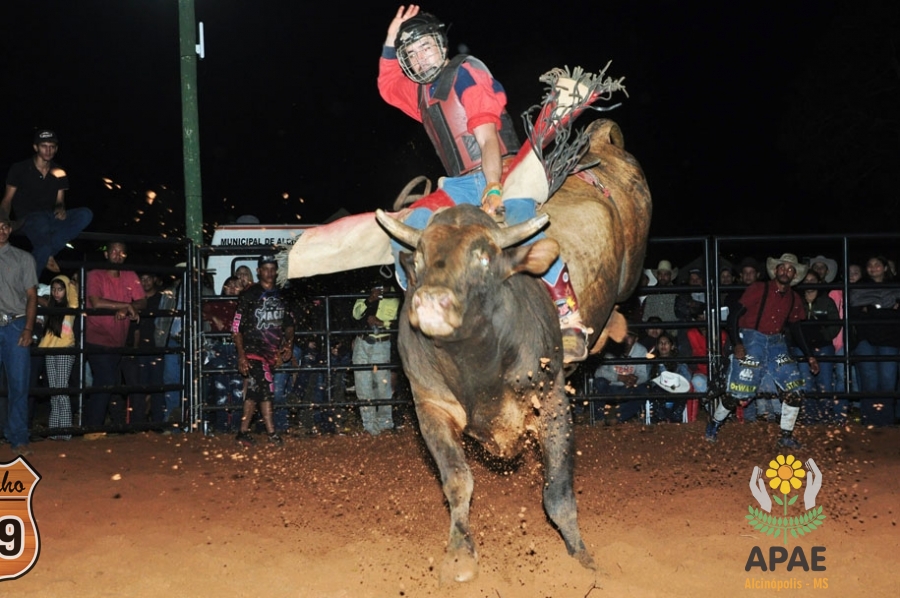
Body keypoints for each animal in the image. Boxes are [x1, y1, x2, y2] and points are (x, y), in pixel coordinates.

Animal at [278, 67, 652, 584]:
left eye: (484, 256)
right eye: (417, 259)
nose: (432, 301)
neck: (476, 362)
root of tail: (602, 144)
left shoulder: (552, 399)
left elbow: (557, 492)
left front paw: (581, 559)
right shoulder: (430, 406)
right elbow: (458, 480)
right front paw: (459, 554)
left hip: (631, 266)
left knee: (620, 299)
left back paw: (599, 331)